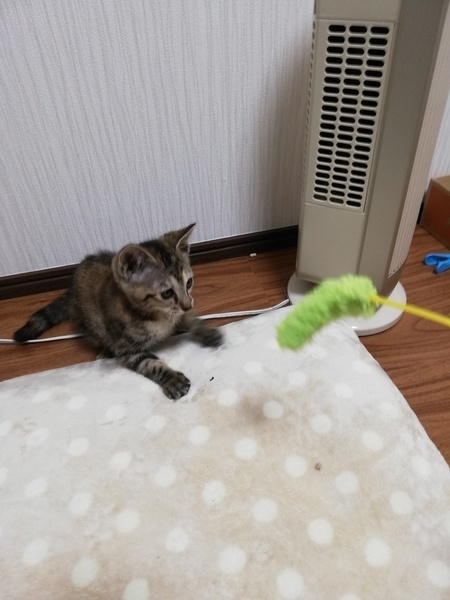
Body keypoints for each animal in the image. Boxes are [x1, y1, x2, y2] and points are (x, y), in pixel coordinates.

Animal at [13, 224, 223, 399]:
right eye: (167, 293)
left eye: (189, 283)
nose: (188, 304)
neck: (159, 316)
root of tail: (71, 290)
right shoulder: (127, 348)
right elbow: (150, 364)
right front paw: (172, 380)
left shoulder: (180, 311)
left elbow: (189, 319)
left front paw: (206, 331)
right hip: (89, 324)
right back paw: (106, 351)